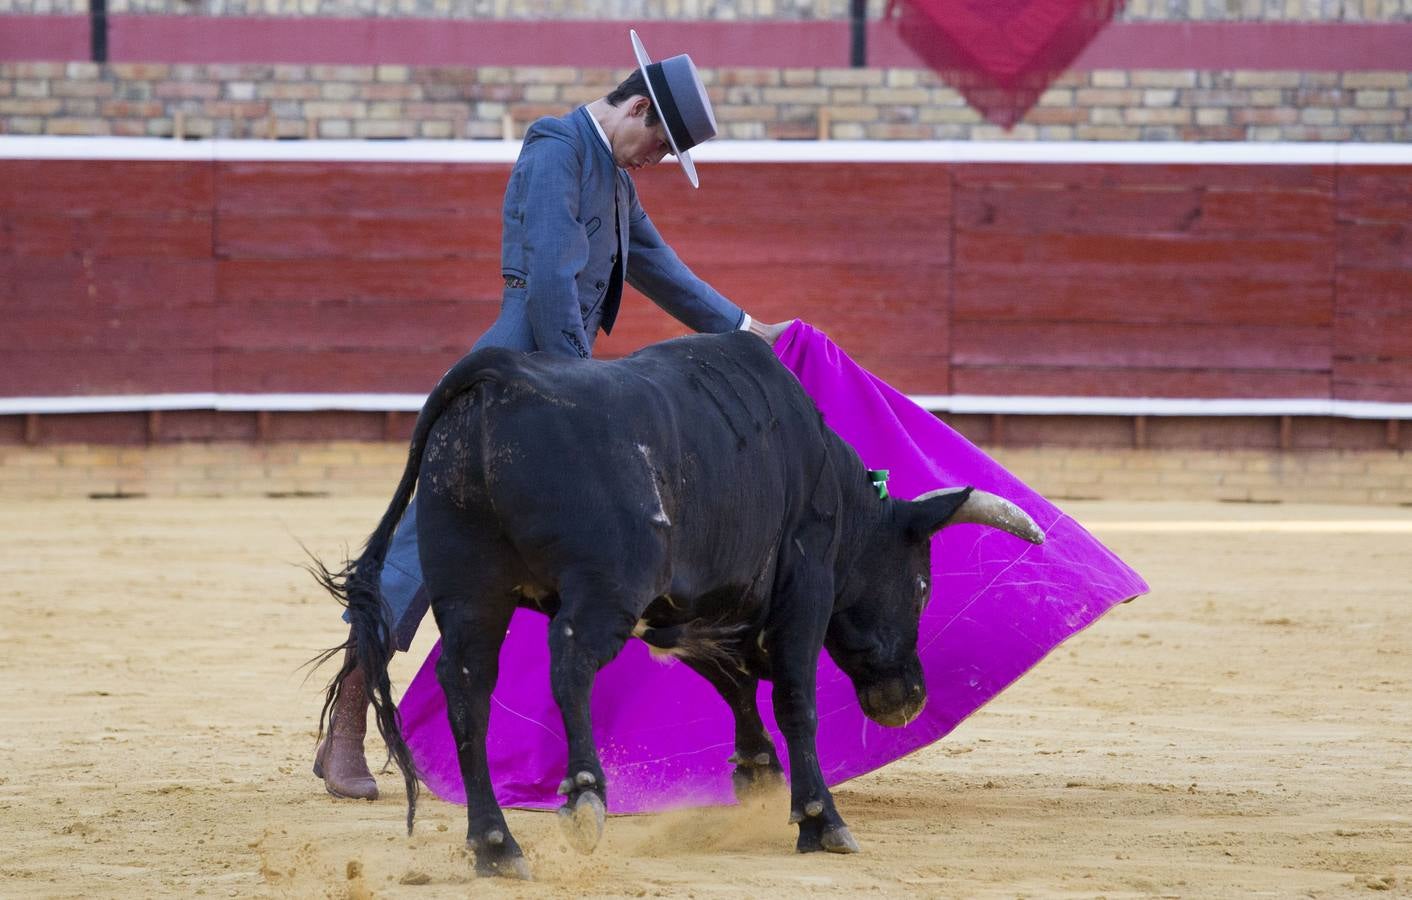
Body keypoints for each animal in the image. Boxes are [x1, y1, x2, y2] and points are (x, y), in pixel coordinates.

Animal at [323, 330, 1050, 875]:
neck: (833, 488)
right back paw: (583, 800)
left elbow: (734, 684)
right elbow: (796, 699)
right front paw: (819, 819)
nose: (909, 699)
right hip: (602, 592)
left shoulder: (687, 613)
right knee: (567, 662)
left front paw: (758, 774)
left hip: (472, 589)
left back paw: (496, 845)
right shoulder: (804, 589)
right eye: (923, 586)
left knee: (468, 686)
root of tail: (496, 378)